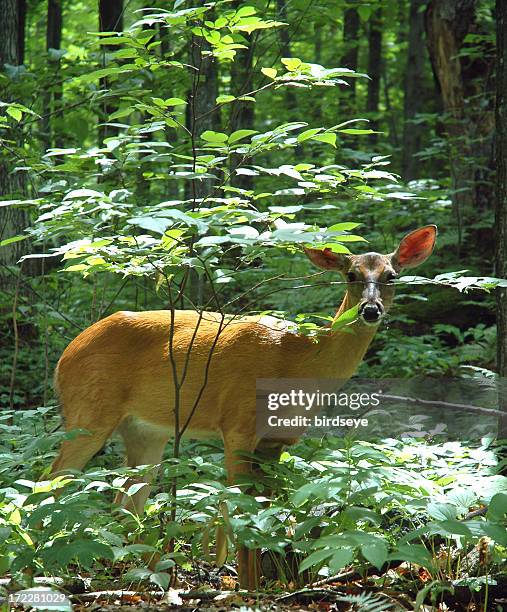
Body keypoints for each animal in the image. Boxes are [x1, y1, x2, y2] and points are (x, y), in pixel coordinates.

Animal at [50, 224, 436, 588]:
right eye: (351, 274)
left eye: (391, 275)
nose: (371, 310)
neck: (298, 362)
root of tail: (65, 355)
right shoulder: (237, 426)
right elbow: (239, 513)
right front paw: (245, 589)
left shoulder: (277, 440)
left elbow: (264, 516)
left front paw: (259, 585)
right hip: (89, 410)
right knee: (52, 480)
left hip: (146, 432)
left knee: (126, 505)